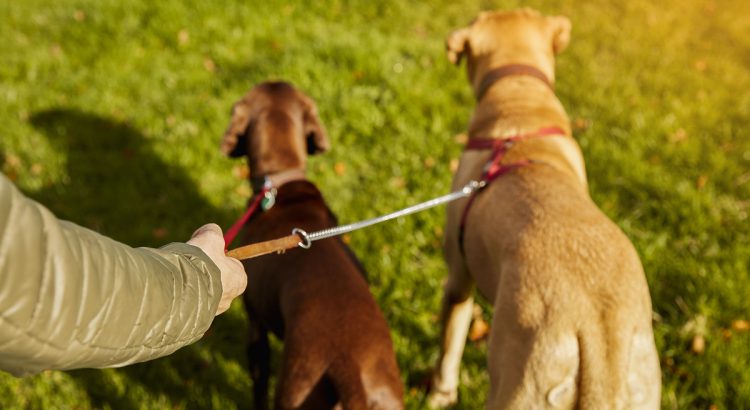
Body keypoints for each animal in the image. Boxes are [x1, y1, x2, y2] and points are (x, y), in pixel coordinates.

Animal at [428, 9, 664, 410]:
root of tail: (597, 332)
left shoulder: (459, 278)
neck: (520, 104)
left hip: (520, 385)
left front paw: (439, 393)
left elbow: (450, 346)